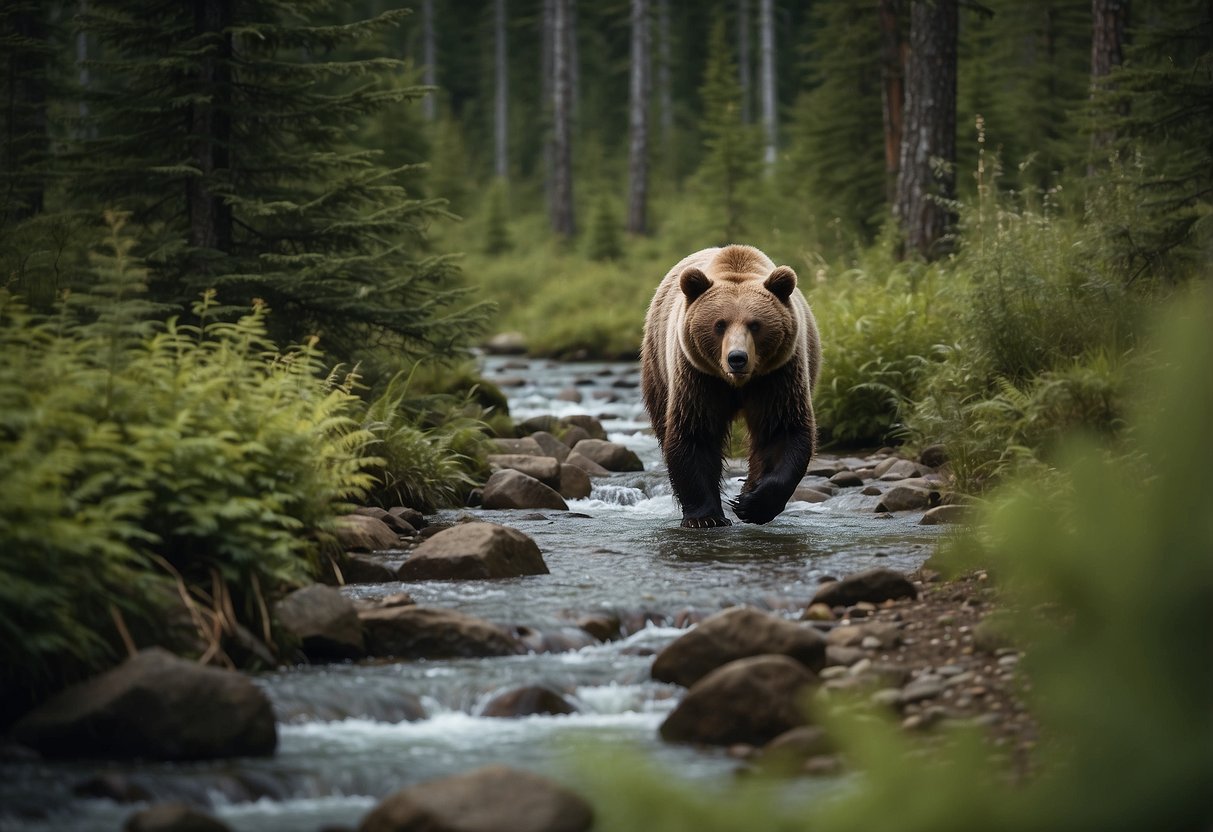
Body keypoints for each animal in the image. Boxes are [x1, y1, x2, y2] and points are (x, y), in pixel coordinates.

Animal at [640, 244, 819, 528]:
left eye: (755, 324)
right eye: (719, 324)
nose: (737, 358)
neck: (737, 383)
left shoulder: (778, 375)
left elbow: (781, 430)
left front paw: (751, 504)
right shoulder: (698, 377)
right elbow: (696, 433)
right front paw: (705, 517)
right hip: (657, 366)